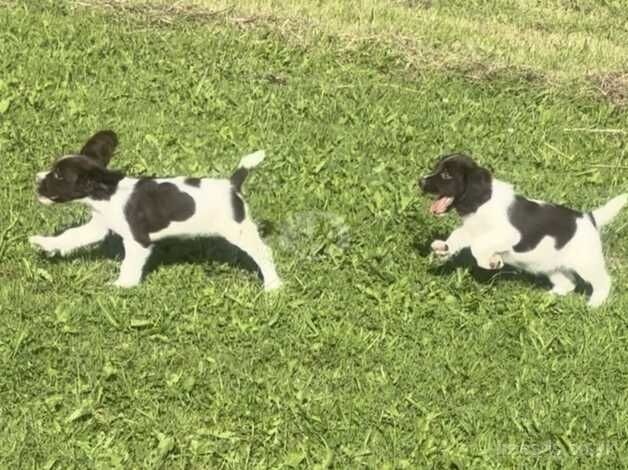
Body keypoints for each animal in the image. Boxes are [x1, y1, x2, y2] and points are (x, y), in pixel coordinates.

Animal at [30, 129, 282, 290]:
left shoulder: (138, 241)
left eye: (58, 176)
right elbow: (70, 236)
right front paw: (44, 243)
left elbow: (129, 264)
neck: (107, 194)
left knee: (264, 253)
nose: (37, 179)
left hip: (238, 230)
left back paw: (273, 286)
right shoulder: (99, 226)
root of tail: (232, 184)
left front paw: (122, 286)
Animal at [420, 154, 624, 308]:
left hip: (586, 262)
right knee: (567, 284)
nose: (420, 181)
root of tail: (589, 218)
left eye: (446, 175)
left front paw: (491, 262)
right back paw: (547, 297)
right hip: (550, 265)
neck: (482, 202)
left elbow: (478, 246)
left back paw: (594, 304)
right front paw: (443, 247)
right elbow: (458, 236)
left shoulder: (509, 234)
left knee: (603, 282)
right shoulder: (471, 229)